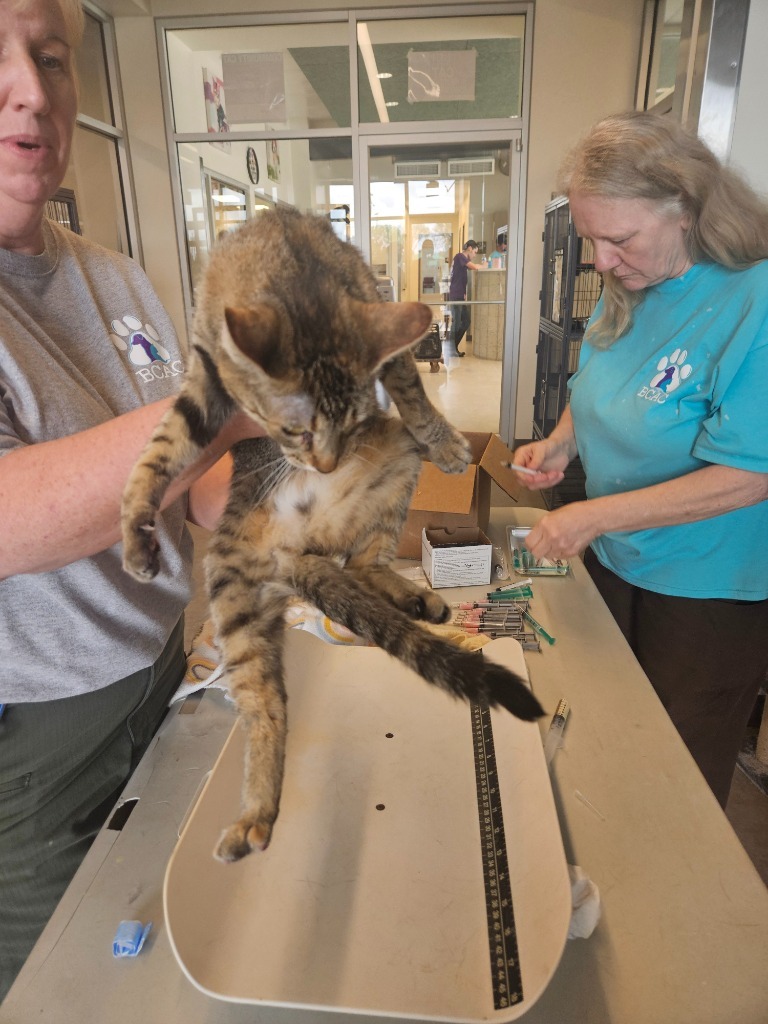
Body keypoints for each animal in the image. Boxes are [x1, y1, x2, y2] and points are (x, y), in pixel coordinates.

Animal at [123, 207, 544, 864]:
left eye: (349, 424)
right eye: (292, 431)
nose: (325, 464)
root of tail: (292, 552)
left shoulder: (379, 329)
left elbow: (412, 390)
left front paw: (450, 442)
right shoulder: (203, 377)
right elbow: (161, 448)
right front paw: (135, 530)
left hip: (396, 466)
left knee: (362, 565)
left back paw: (415, 595)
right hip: (233, 595)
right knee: (265, 707)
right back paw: (254, 812)